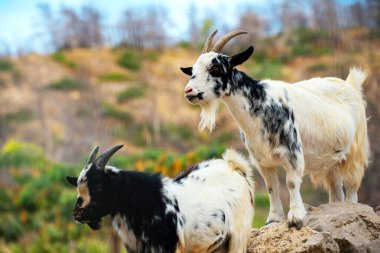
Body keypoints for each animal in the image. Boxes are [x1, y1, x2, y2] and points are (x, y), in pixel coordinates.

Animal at [180, 29, 370, 227]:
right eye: (192, 71)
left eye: (215, 69)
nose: (188, 91)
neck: (262, 104)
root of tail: (351, 84)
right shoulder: (263, 160)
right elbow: (272, 187)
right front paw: (273, 218)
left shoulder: (293, 152)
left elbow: (291, 183)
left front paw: (295, 217)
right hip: (331, 161)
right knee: (335, 189)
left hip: (355, 152)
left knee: (351, 186)